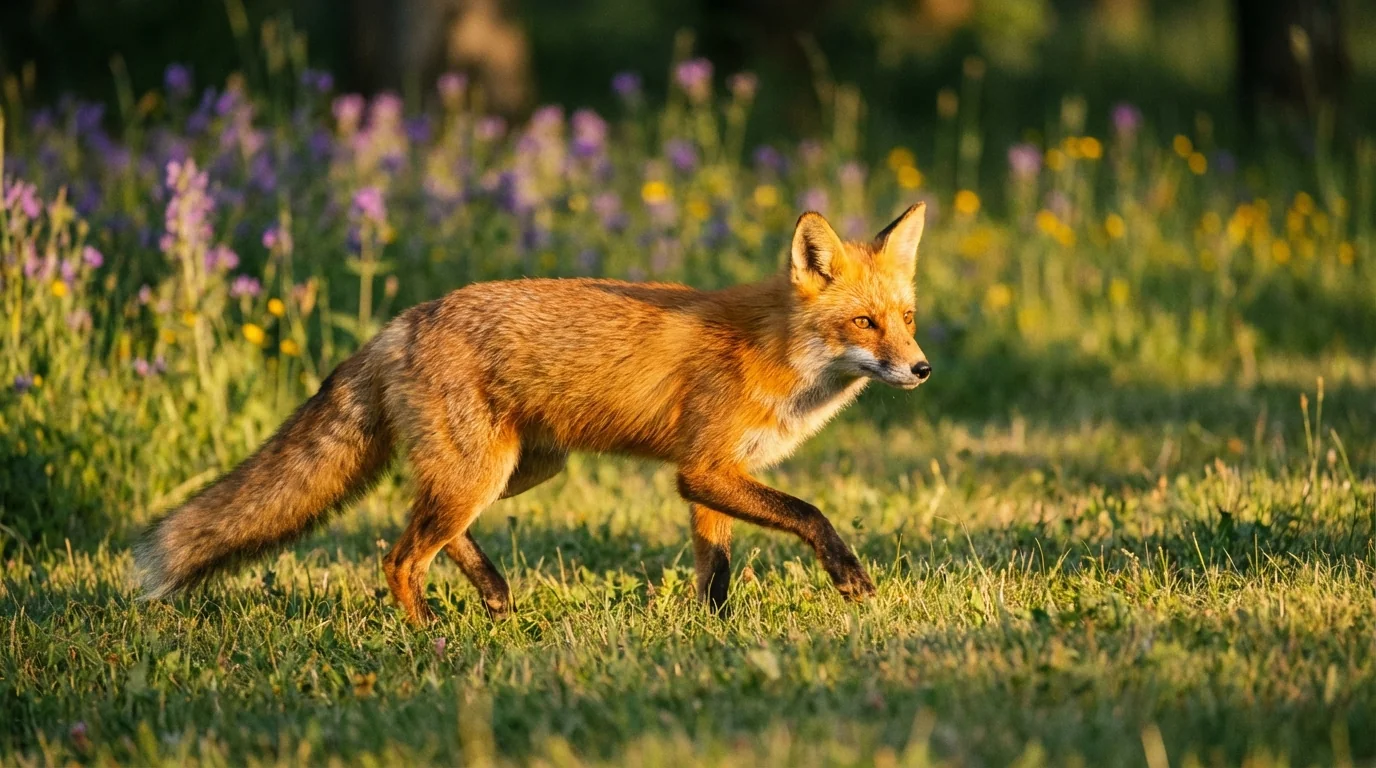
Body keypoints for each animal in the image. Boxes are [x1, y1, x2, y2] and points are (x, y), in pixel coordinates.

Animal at [135, 203, 932, 623]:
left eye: (907, 318)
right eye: (863, 323)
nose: (921, 369)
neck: (778, 354)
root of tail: (400, 322)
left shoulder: (713, 478)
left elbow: (716, 567)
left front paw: (712, 629)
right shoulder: (705, 469)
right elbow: (810, 513)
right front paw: (850, 579)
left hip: (518, 470)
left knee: (420, 524)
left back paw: (491, 594)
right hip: (481, 474)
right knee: (399, 555)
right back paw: (427, 634)